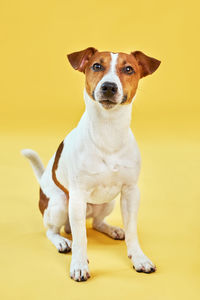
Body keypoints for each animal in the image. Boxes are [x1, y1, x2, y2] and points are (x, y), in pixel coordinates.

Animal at [22, 47, 161, 282]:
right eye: (96, 65)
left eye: (128, 69)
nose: (109, 86)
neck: (108, 131)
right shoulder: (77, 196)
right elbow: (81, 239)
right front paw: (79, 265)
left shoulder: (131, 192)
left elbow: (132, 231)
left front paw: (139, 258)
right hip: (60, 203)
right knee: (53, 230)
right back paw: (61, 241)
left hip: (108, 203)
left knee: (96, 223)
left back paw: (113, 229)